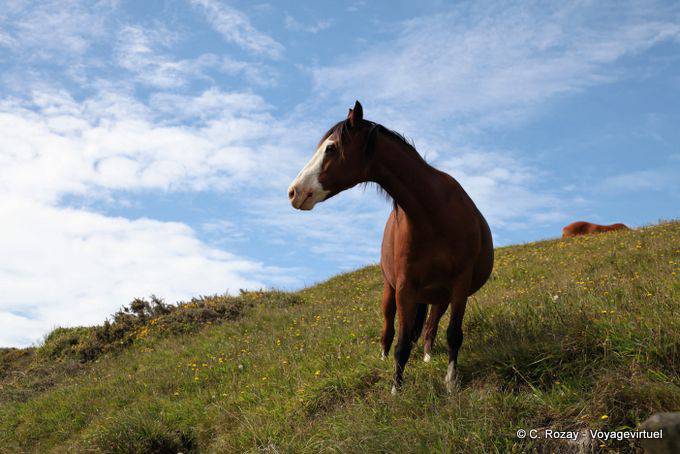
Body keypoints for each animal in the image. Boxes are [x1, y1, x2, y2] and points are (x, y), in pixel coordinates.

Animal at [288, 101, 493, 393]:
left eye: (330, 148)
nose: (294, 192)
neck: (433, 213)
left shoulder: (460, 285)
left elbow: (453, 334)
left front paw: (451, 382)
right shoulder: (405, 288)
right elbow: (402, 342)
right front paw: (397, 389)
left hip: (441, 296)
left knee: (430, 327)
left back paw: (428, 356)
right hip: (391, 290)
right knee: (389, 327)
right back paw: (384, 356)